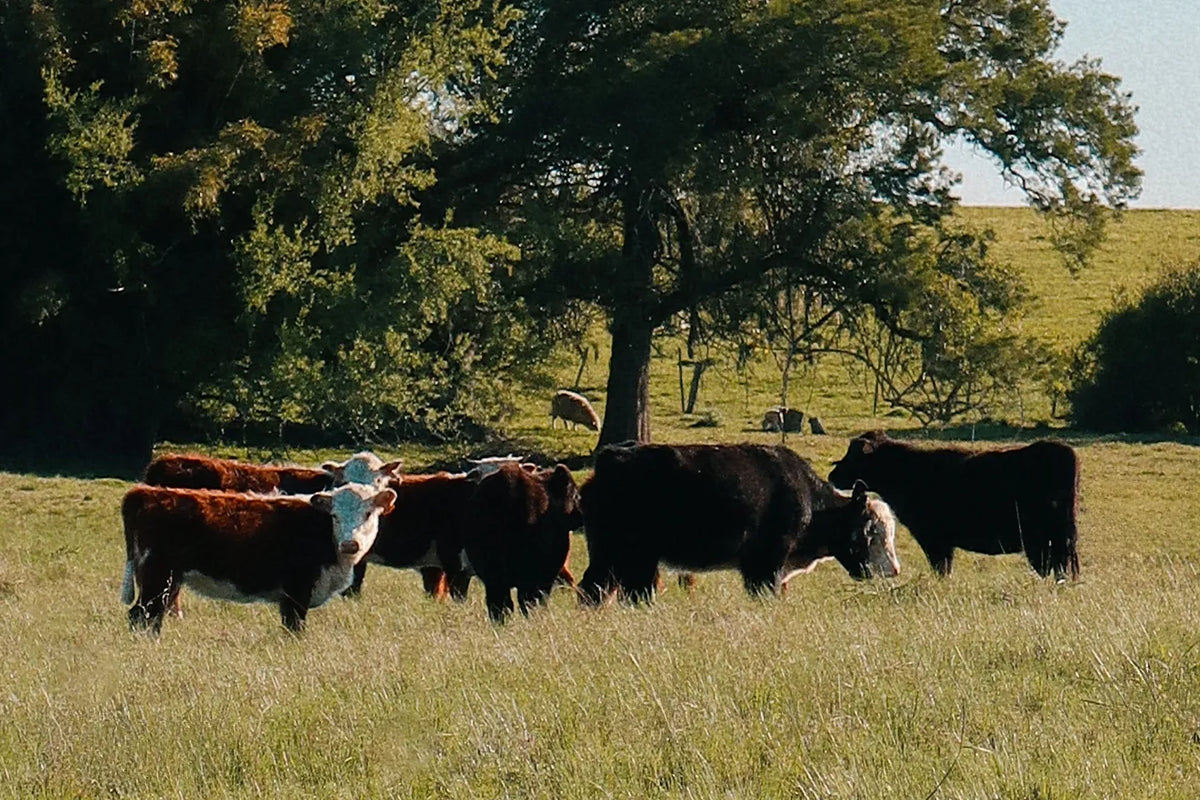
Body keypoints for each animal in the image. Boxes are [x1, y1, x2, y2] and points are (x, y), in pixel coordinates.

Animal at [120, 482, 397, 633]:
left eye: (368, 513)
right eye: (335, 516)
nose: (350, 543)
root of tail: (144, 493)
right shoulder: (296, 593)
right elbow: (294, 628)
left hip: (169, 581)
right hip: (157, 577)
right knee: (141, 616)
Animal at [577, 443, 900, 605]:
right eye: (870, 530)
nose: (894, 570)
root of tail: (610, 460)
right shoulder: (765, 564)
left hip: (613, 557)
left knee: (595, 590)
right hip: (633, 557)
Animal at [828, 431, 1080, 581]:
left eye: (854, 456)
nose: (832, 475)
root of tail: (1065, 451)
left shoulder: (934, 540)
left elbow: (941, 568)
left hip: (1051, 539)